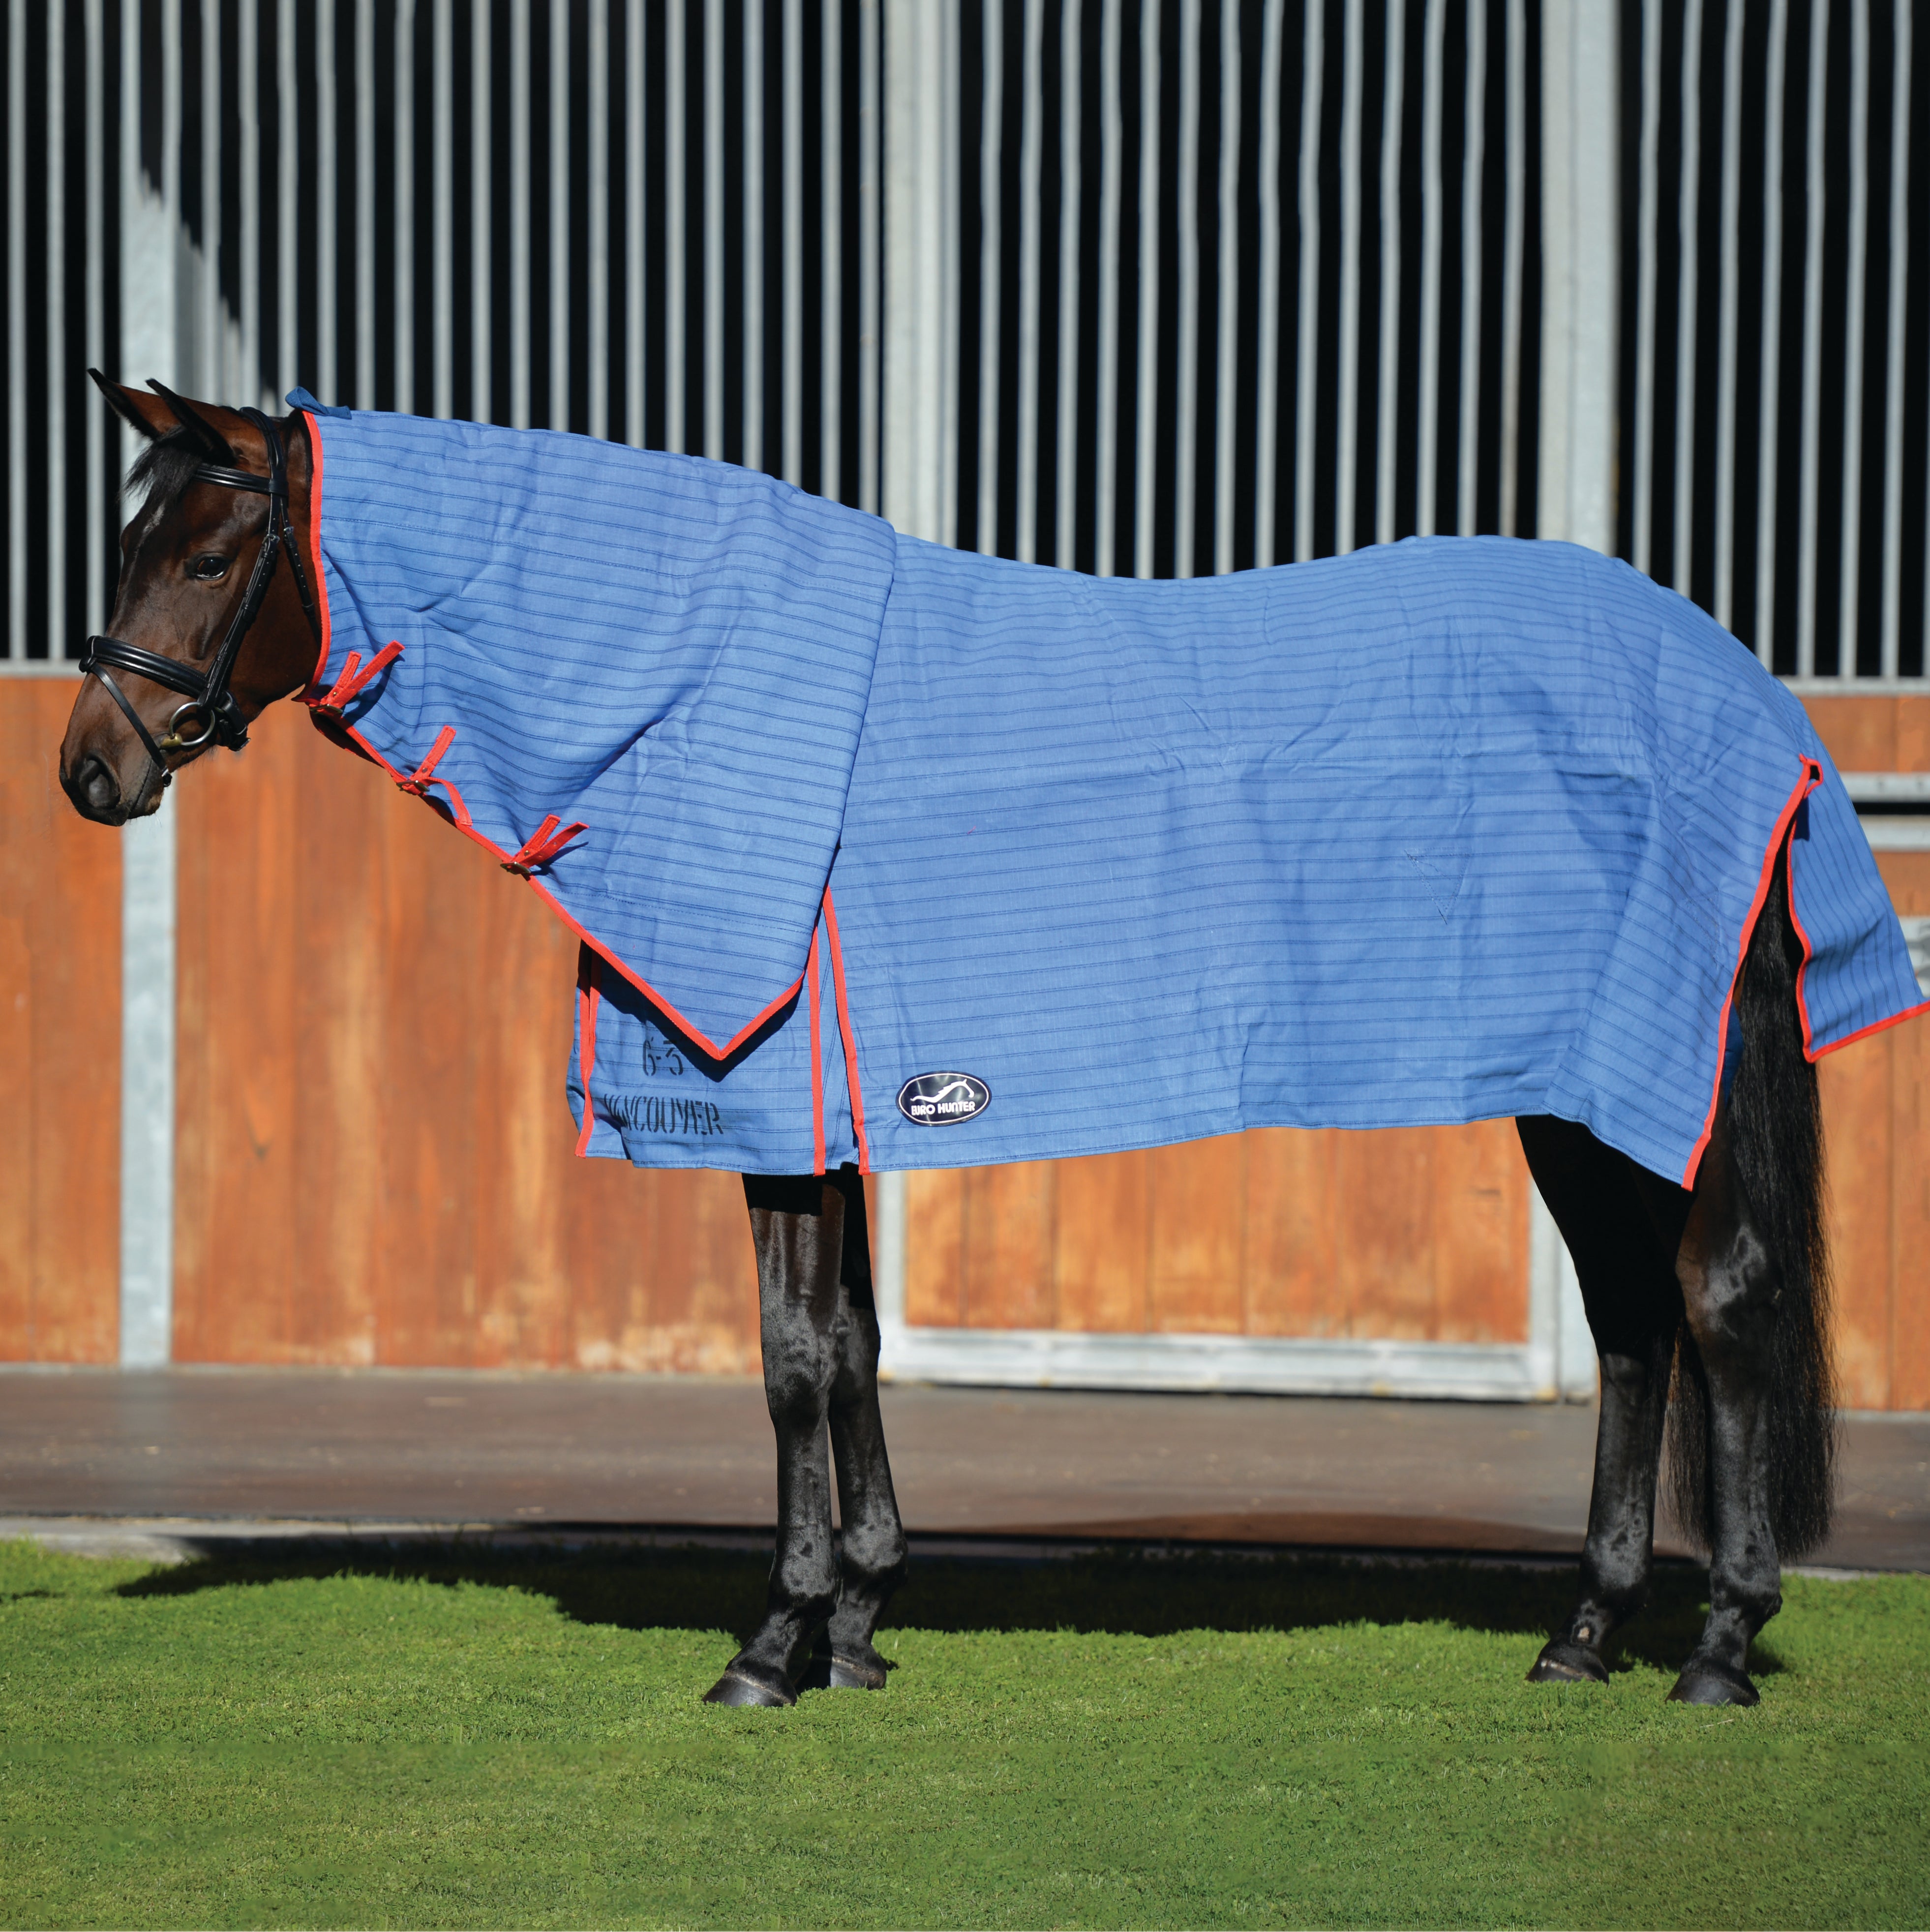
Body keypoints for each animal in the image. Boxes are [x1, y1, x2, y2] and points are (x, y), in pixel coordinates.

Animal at [58, 373, 1903, 1712]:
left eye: (209, 558)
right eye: (125, 541)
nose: (91, 765)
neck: (697, 688)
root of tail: (1749, 702)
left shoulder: (768, 1111)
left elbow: (792, 1357)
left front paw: (773, 1644)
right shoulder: (833, 1104)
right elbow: (858, 1341)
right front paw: (864, 1622)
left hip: (1660, 1071)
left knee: (1722, 1300)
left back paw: (1718, 1649)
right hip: (1576, 1094)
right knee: (1635, 1322)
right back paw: (1583, 1634)